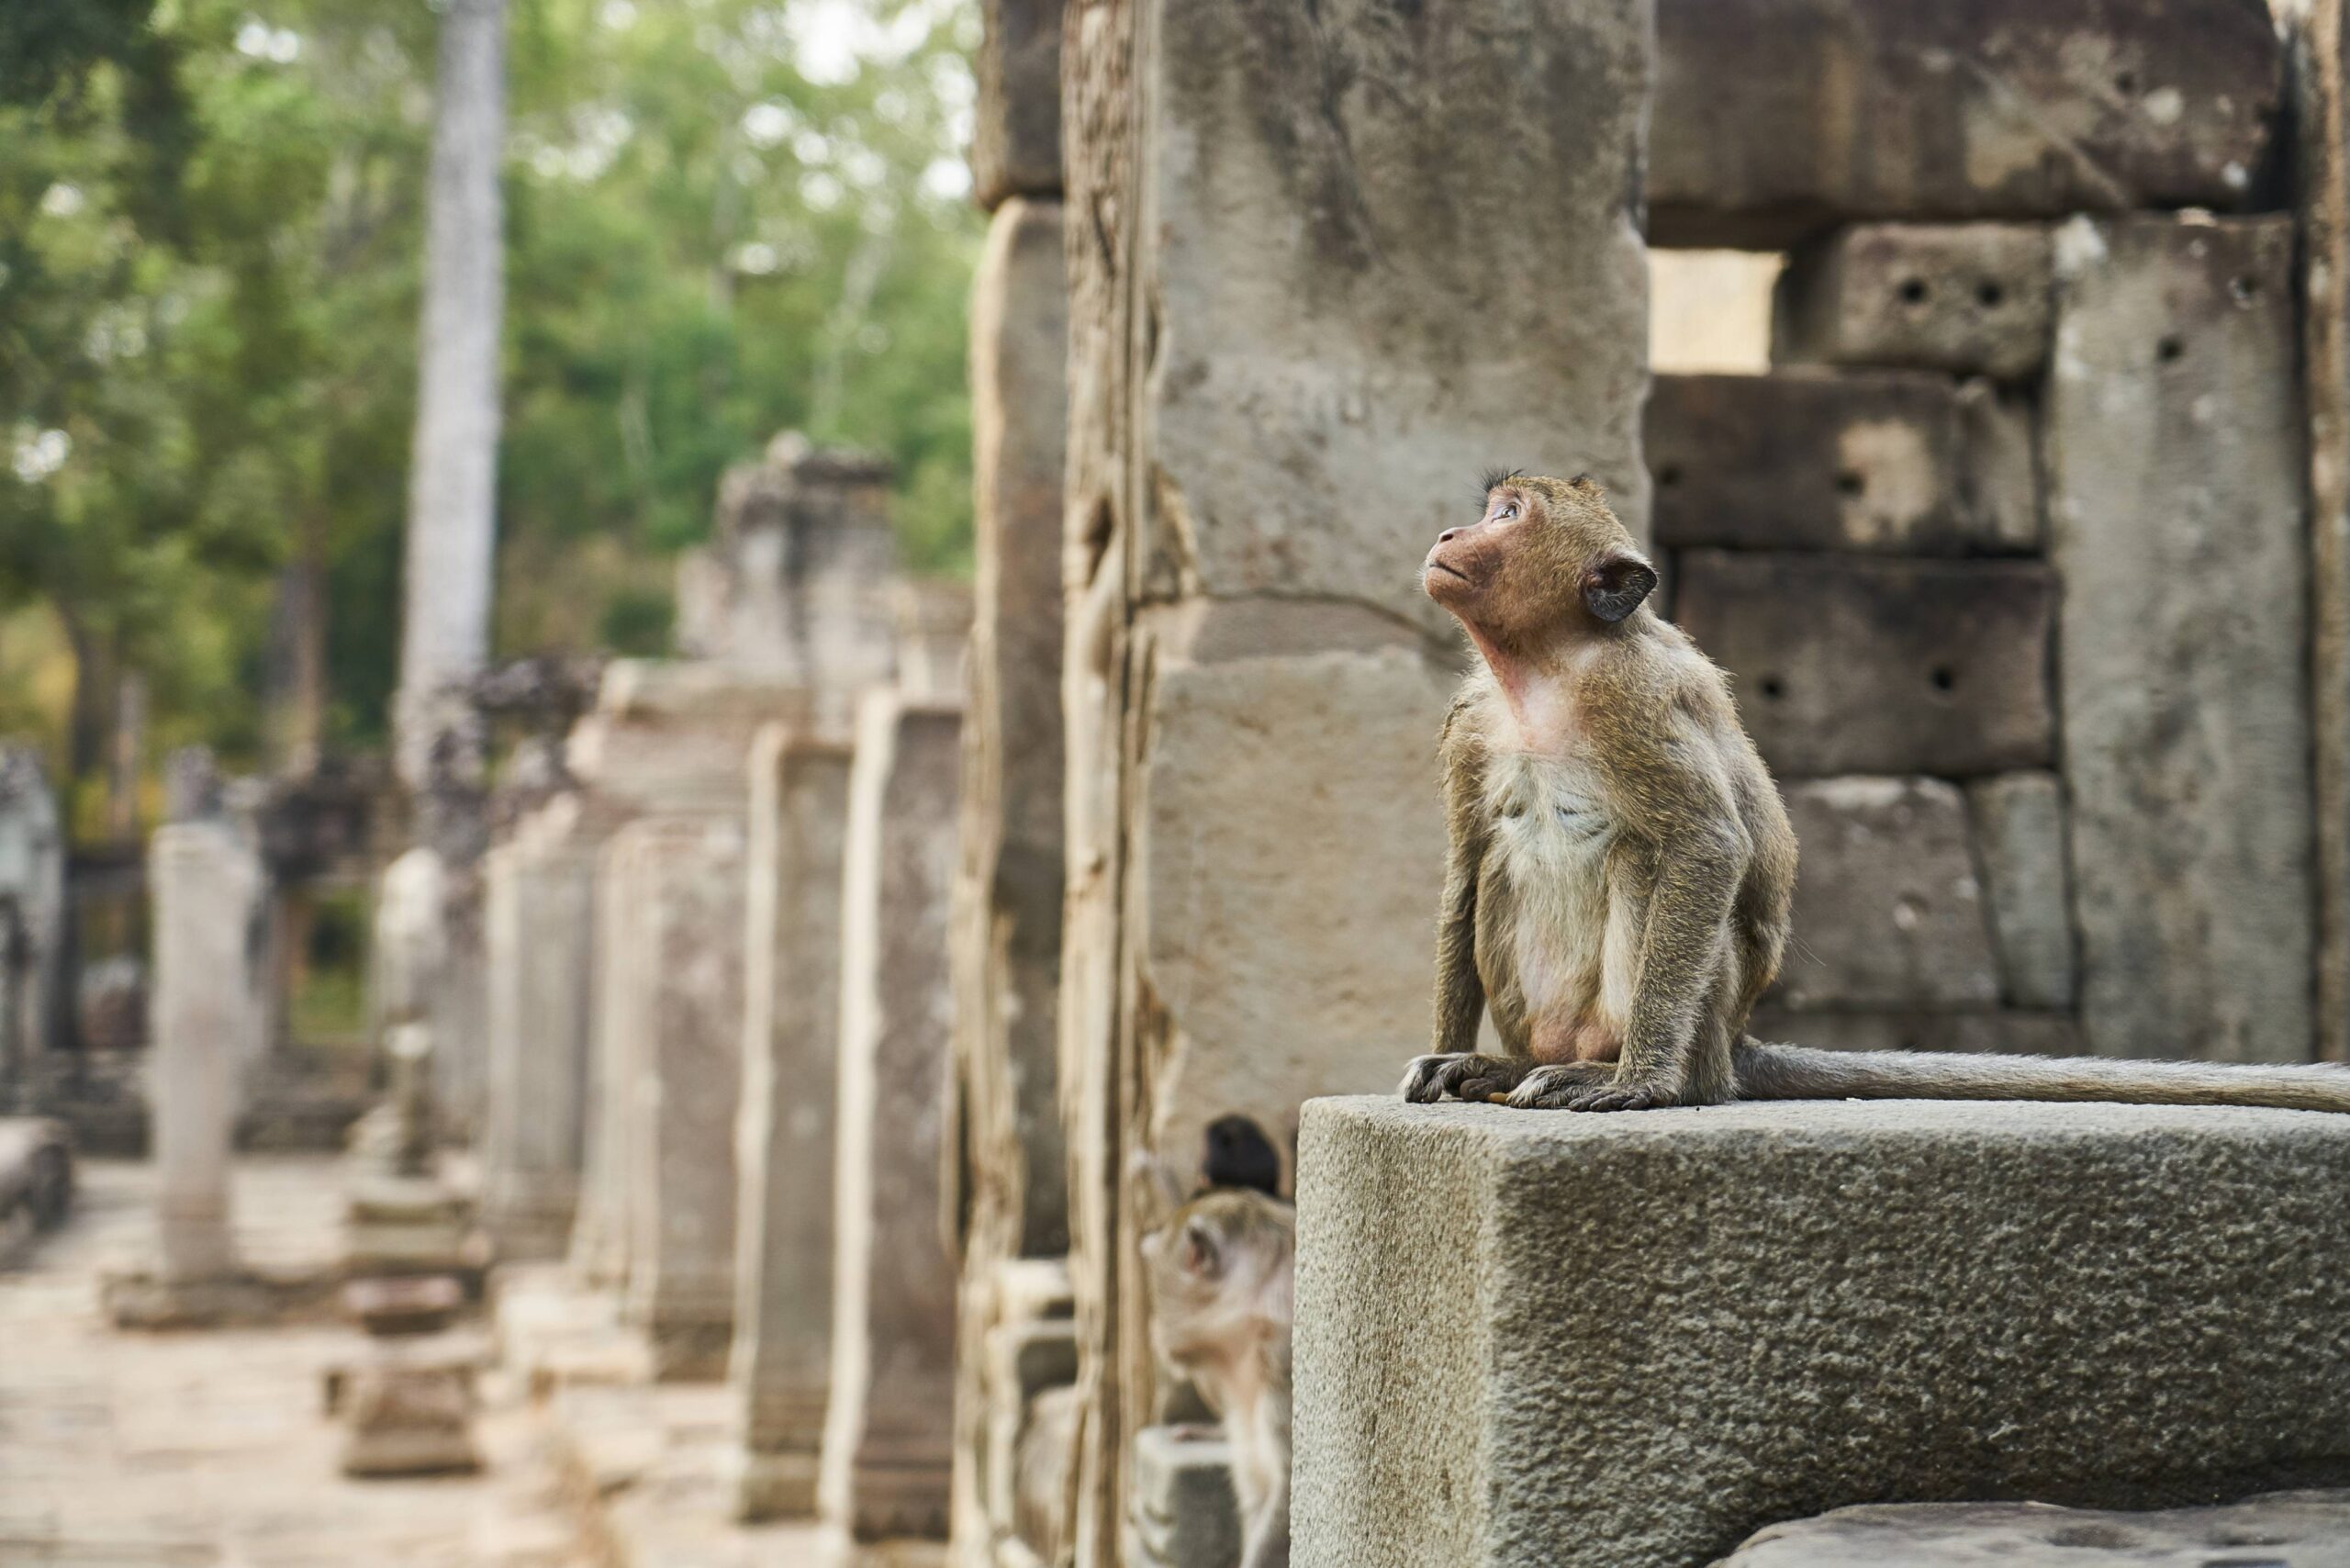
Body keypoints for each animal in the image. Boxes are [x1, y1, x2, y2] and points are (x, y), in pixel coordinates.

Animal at [1399, 470, 2350, 1114]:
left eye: (1508, 517)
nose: (1446, 534)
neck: (1551, 668)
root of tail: (1734, 1043)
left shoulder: (1636, 701)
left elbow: (1707, 845)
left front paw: (1641, 1085)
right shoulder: (1473, 719)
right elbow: (1466, 864)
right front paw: (1449, 1051)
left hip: (1701, 1014)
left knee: (1646, 858)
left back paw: (1632, 1071)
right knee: (1498, 872)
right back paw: (1509, 1065)